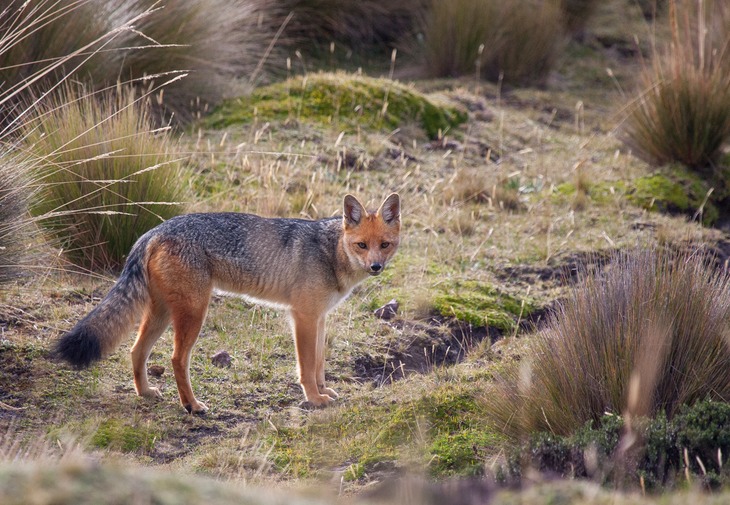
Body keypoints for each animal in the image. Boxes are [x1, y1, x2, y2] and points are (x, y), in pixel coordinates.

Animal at [54, 194, 400, 414]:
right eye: (361, 245)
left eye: (384, 245)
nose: (375, 267)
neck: (330, 252)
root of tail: (154, 230)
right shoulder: (302, 317)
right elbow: (306, 366)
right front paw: (314, 399)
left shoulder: (319, 318)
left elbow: (319, 364)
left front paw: (323, 390)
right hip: (194, 314)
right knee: (176, 359)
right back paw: (192, 406)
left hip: (162, 314)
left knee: (136, 350)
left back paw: (146, 393)